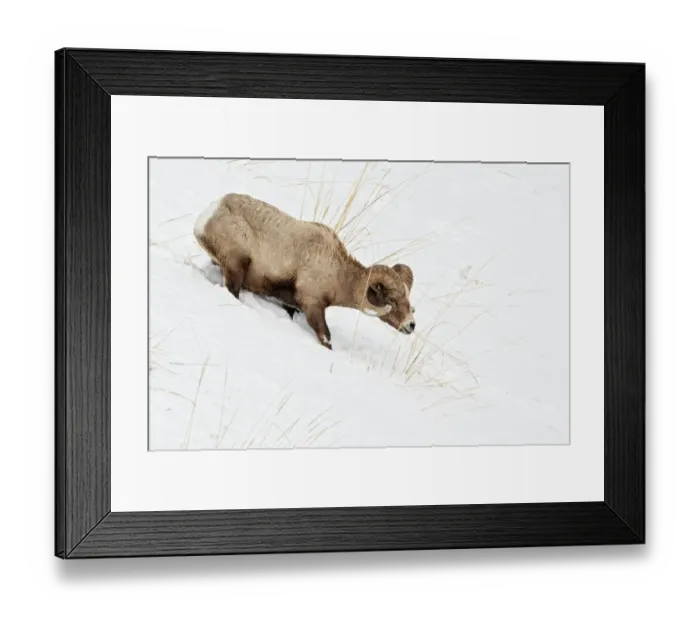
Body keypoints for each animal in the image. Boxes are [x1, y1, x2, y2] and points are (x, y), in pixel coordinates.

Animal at [194, 193, 416, 350]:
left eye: (408, 300)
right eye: (393, 300)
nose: (411, 325)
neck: (339, 275)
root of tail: (209, 213)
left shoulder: (293, 306)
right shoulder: (313, 304)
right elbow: (326, 337)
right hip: (237, 265)